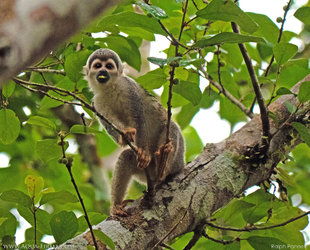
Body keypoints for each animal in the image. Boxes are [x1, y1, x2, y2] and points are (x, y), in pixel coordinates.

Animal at [83, 48, 184, 215]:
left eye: (109, 66)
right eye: (98, 66)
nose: (103, 71)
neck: (110, 88)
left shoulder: (128, 87)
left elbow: (139, 118)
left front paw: (143, 152)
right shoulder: (97, 102)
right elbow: (112, 128)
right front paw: (125, 135)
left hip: (177, 161)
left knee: (172, 127)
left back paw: (163, 164)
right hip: (144, 173)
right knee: (126, 157)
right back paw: (117, 206)